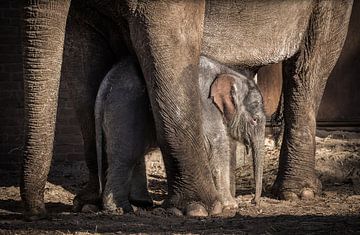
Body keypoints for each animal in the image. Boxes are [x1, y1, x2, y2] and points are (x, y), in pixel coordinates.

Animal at [94, 56, 266, 214]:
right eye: (255, 120)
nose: (254, 201)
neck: (227, 71)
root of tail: (105, 86)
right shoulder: (207, 106)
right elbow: (216, 144)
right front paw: (231, 205)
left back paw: (140, 204)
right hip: (125, 110)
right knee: (126, 157)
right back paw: (120, 209)